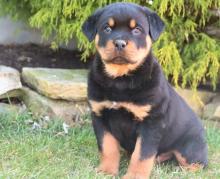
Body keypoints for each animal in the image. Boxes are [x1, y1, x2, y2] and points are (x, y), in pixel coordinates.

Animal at [82, 1, 208, 179]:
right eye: (107, 28)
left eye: (137, 29)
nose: (119, 43)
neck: (120, 79)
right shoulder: (99, 114)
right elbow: (108, 147)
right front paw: (106, 171)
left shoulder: (151, 121)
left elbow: (142, 154)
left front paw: (134, 175)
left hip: (190, 147)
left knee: (198, 163)